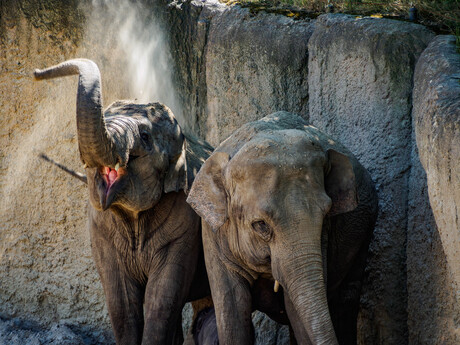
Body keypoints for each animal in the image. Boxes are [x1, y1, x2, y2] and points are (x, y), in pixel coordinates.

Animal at [34, 59, 214, 344]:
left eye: (145, 136)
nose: (37, 73)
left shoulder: (185, 222)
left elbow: (162, 301)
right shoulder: (100, 229)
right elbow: (121, 303)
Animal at [186, 112, 378, 344]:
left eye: (326, 217)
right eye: (261, 225)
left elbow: (295, 309)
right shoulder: (212, 233)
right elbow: (232, 308)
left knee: (346, 299)